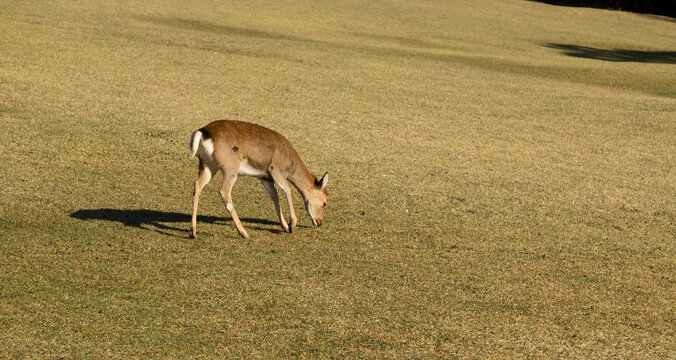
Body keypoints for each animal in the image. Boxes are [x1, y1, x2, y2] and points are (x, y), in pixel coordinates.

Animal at [189, 120, 328, 239]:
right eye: (325, 203)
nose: (319, 222)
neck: (291, 165)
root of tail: (202, 133)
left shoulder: (265, 177)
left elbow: (274, 196)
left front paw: (284, 226)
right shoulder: (275, 169)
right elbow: (287, 190)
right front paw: (292, 224)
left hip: (207, 164)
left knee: (197, 184)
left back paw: (193, 231)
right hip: (230, 167)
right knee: (224, 191)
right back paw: (244, 233)